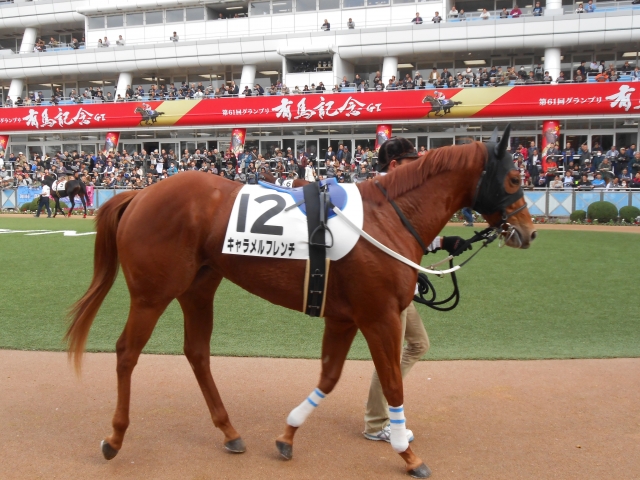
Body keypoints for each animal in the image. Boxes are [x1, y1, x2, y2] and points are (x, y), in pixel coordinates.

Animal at [65, 126, 536, 478]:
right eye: (513, 180)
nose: (528, 232)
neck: (387, 218)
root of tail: (140, 194)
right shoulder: (380, 317)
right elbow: (392, 383)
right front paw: (407, 452)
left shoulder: (344, 318)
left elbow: (329, 376)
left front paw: (288, 435)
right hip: (152, 293)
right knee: (127, 352)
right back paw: (115, 438)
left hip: (199, 287)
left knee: (197, 352)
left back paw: (229, 431)